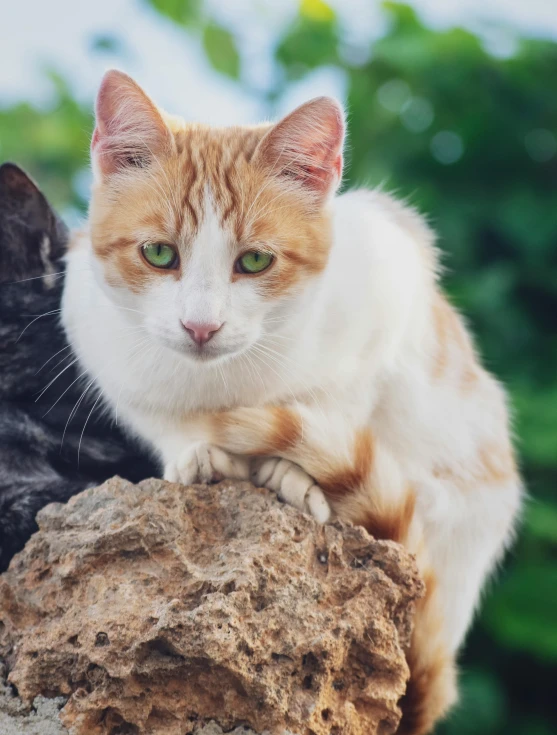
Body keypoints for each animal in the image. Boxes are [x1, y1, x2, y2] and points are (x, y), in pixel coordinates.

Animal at [62, 70, 520, 735]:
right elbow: (160, 417)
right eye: (158, 254)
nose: (200, 326)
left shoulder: (390, 282)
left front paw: (290, 471)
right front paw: (195, 450)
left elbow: (337, 403)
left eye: (255, 260)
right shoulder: (92, 333)